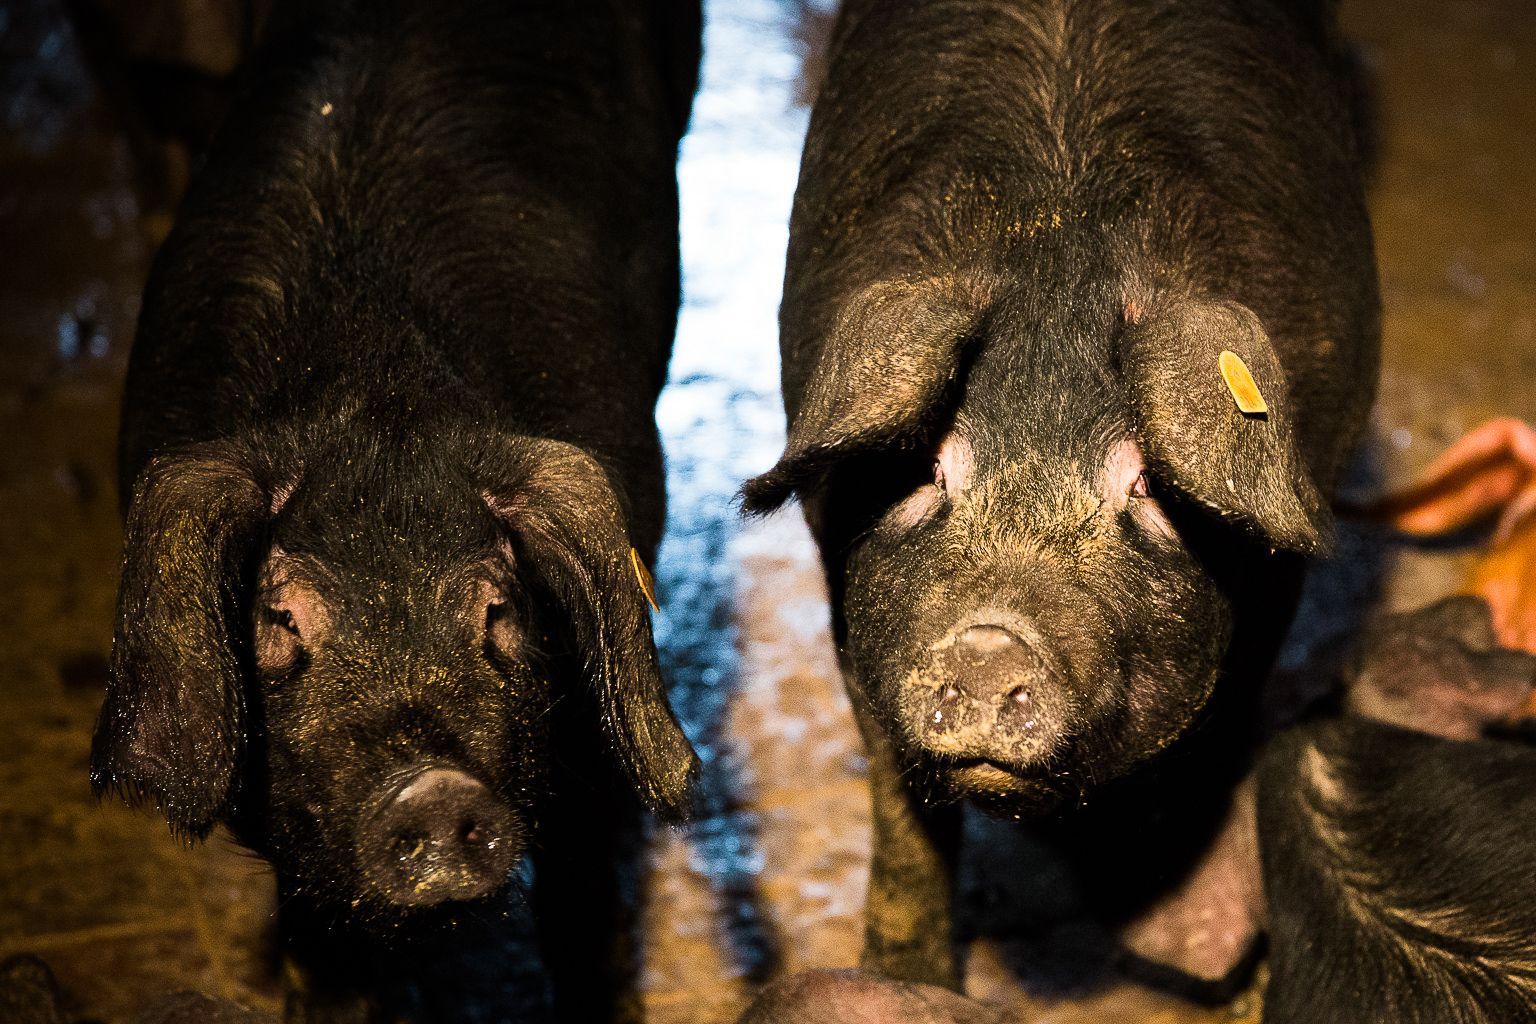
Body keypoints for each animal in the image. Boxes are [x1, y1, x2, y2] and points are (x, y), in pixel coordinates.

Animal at [743, 0, 1382, 988]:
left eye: (1146, 485)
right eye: (928, 469)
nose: (989, 644)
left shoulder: (1279, 580)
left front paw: (1178, 946)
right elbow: (904, 823)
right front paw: (902, 985)